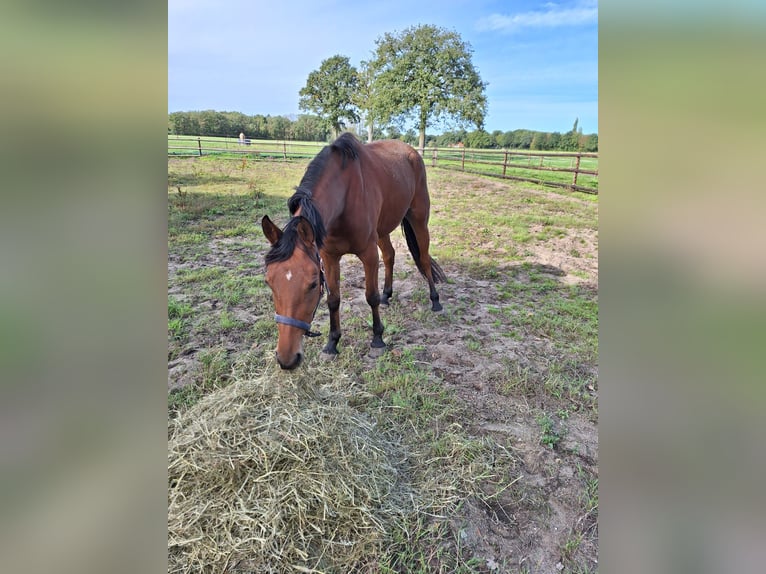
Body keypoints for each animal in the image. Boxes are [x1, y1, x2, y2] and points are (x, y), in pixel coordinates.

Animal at [261, 132, 446, 370]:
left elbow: (370, 296)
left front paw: (377, 340)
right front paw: (332, 344)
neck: (345, 196)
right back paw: (387, 295)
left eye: (312, 284)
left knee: (423, 258)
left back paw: (435, 300)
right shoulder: (329, 257)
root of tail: (412, 152)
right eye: (269, 282)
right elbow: (334, 300)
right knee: (390, 255)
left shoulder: (368, 254)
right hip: (382, 230)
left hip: (419, 220)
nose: (287, 359)